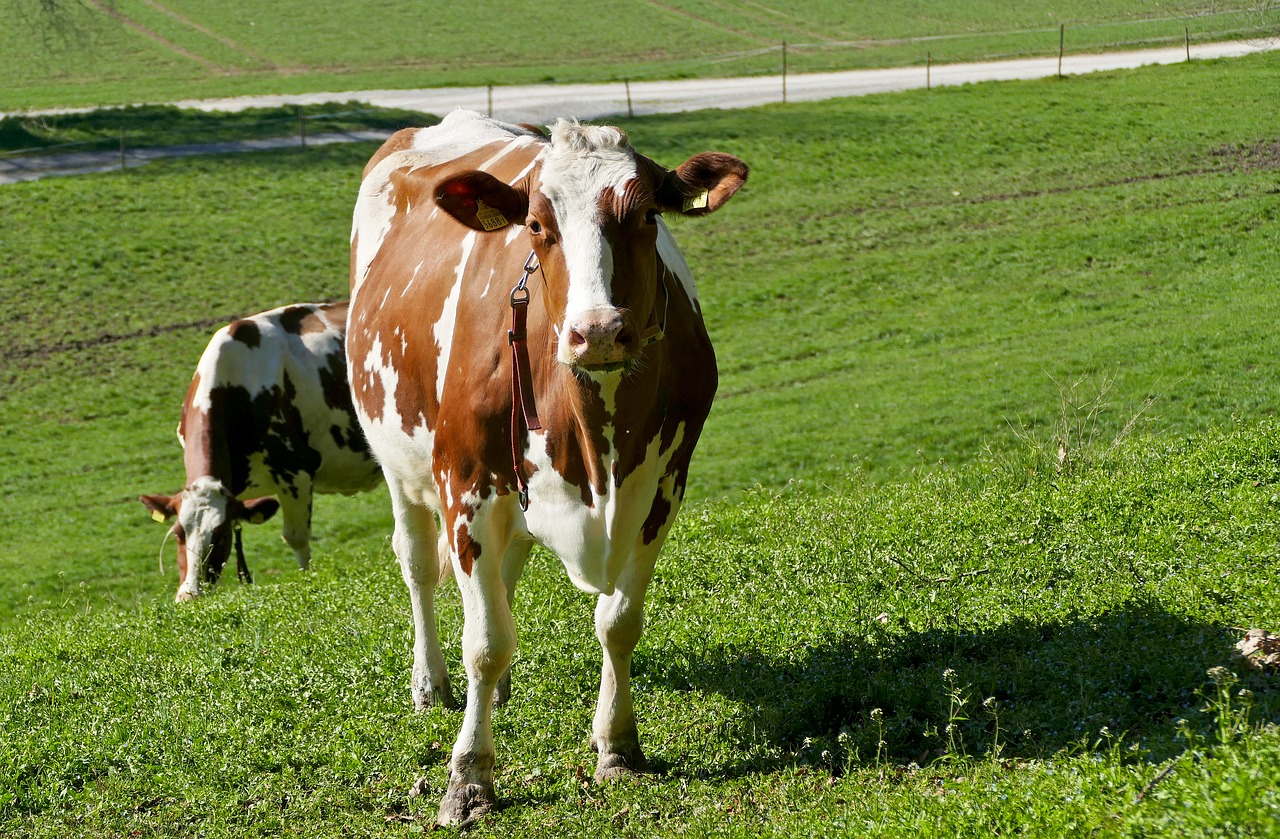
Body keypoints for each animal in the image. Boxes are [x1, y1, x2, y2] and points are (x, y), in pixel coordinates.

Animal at [140, 302, 381, 604]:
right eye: (177, 534)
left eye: (221, 536)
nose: (190, 596)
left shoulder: (295, 472)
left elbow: (296, 537)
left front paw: (309, 583)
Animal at [348, 108, 747, 824]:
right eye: (536, 225)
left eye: (649, 213)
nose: (599, 331)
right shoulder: (467, 489)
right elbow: (484, 642)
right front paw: (468, 778)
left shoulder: (661, 490)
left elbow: (618, 623)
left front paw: (618, 747)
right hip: (400, 463)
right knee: (418, 565)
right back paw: (431, 682)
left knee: (506, 573)